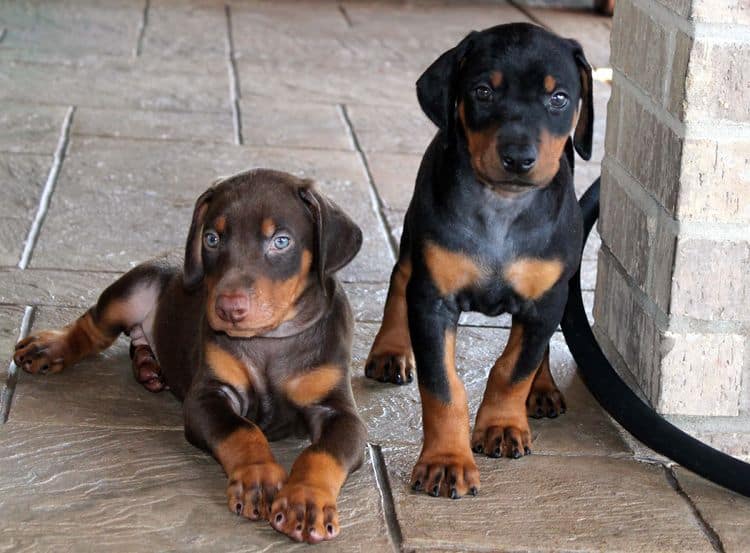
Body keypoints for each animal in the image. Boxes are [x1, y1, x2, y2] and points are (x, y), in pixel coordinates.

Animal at [13, 169, 368, 544]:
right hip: (133, 289)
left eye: (281, 241)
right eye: (212, 239)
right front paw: (259, 477)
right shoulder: (208, 395)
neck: (270, 340)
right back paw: (52, 346)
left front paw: (306, 500)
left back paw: (149, 367)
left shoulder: (337, 410)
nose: (228, 309)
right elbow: (242, 430)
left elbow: (322, 452)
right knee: (93, 326)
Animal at [364, 22, 592, 496]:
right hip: (415, 237)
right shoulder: (433, 300)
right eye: (483, 91)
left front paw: (503, 425)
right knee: (399, 279)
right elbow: (442, 387)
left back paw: (543, 389)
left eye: (559, 98)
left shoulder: (547, 300)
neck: (501, 208)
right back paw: (390, 350)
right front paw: (446, 462)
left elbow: (515, 366)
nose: (518, 158)